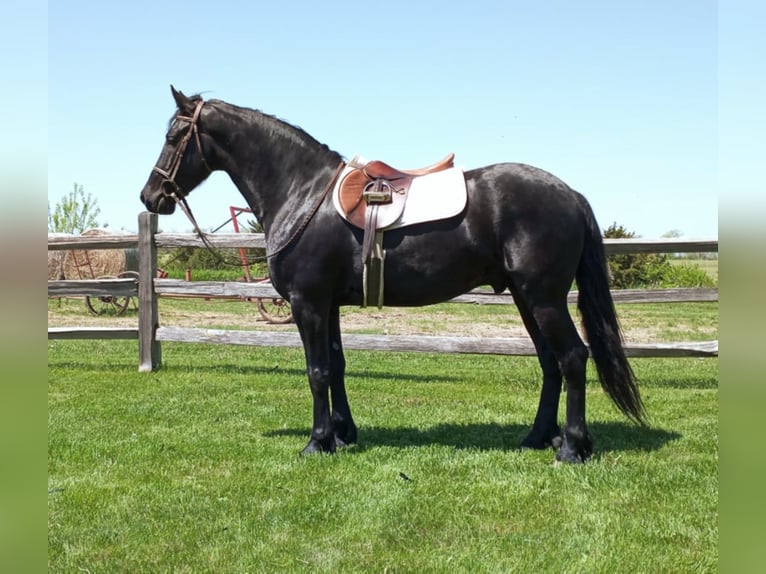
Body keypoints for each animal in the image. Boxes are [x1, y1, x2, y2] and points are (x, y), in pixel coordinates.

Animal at [141, 86, 644, 464]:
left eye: (174, 135)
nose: (151, 196)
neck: (303, 193)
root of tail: (570, 193)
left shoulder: (308, 303)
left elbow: (317, 371)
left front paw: (317, 442)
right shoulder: (329, 305)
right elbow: (337, 366)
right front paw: (343, 434)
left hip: (544, 298)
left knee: (573, 357)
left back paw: (572, 448)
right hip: (526, 298)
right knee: (549, 362)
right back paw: (538, 437)